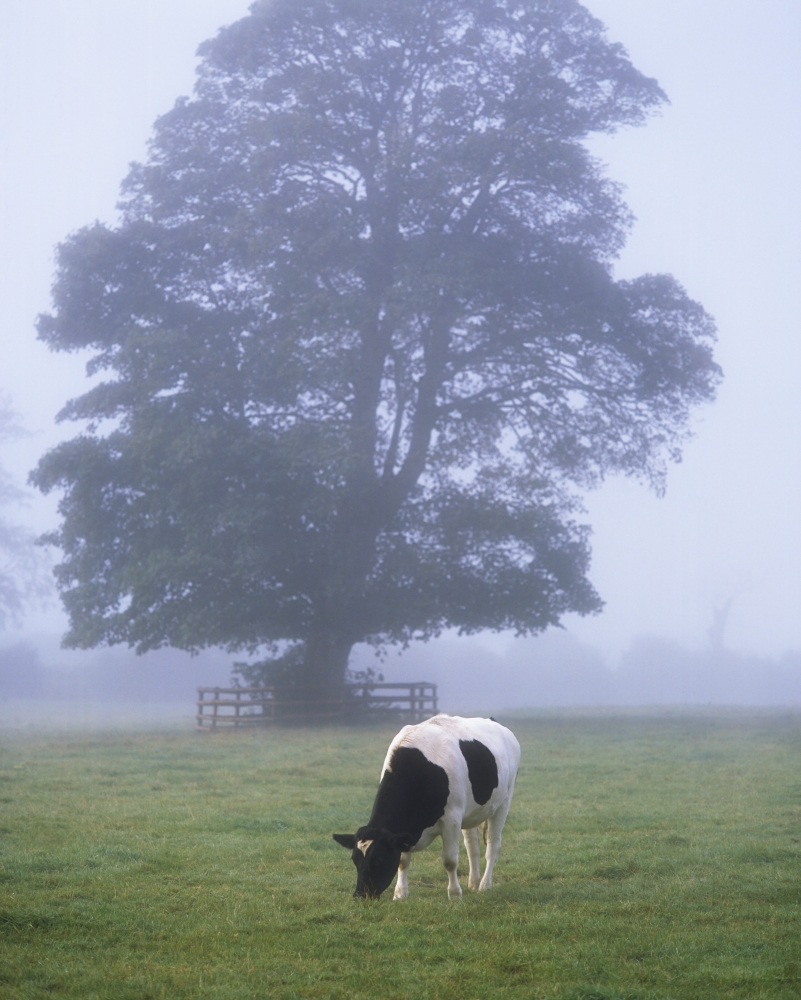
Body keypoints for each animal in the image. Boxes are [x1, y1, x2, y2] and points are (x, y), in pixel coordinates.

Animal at [333, 714, 521, 900]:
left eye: (379, 860)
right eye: (354, 860)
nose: (359, 896)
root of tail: (494, 721)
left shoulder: (452, 818)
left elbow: (450, 860)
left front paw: (454, 895)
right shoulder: (405, 830)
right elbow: (402, 861)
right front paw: (400, 894)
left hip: (504, 801)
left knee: (493, 846)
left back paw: (484, 885)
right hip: (471, 812)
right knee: (472, 847)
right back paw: (473, 883)